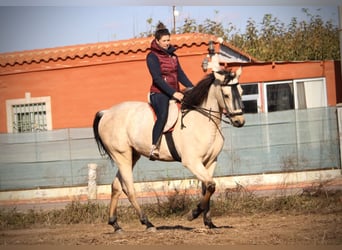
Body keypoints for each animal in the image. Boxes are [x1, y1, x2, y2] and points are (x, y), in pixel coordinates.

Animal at [92, 67, 244, 232]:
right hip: (121, 156)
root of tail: (106, 113)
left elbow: (208, 188)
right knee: (129, 189)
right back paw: (147, 223)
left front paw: (209, 222)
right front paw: (193, 214)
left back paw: (115, 224)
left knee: (117, 187)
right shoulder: (192, 162)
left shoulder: (210, 161)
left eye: (241, 91)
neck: (202, 120)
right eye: (227, 95)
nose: (239, 121)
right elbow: (210, 186)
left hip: (132, 156)